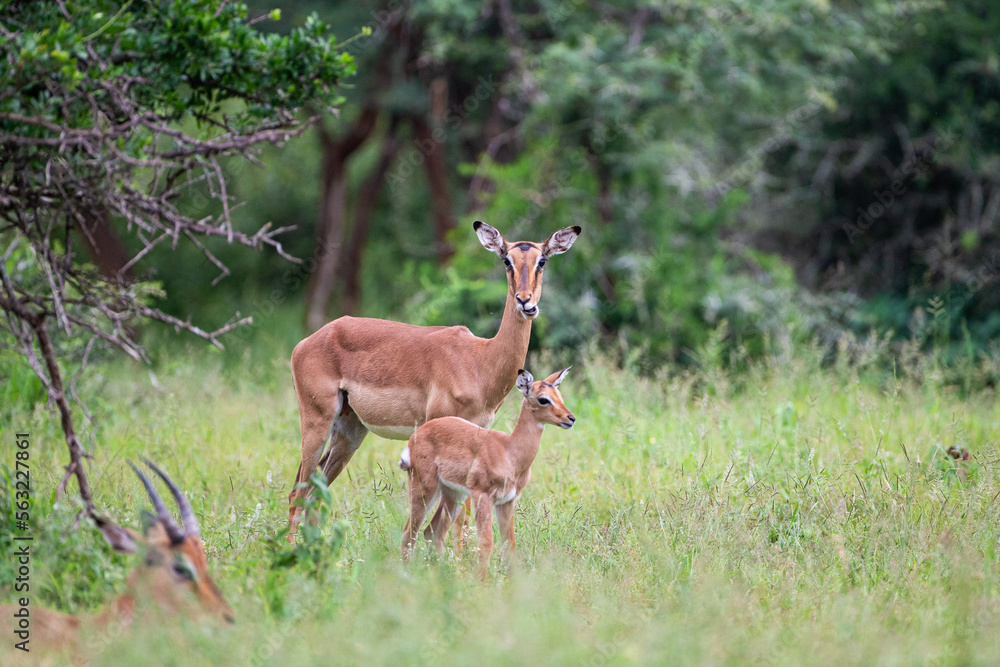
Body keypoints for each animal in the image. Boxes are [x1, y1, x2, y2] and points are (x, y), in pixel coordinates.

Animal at [287, 221, 581, 536]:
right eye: (506, 260)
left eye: (542, 260)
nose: (526, 302)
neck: (480, 360)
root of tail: (306, 343)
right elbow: (456, 517)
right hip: (317, 421)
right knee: (297, 493)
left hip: (350, 431)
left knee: (315, 491)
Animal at [399, 367, 575, 577]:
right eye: (543, 399)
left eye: (559, 396)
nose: (570, 419)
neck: (508, 452)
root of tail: (415, 436)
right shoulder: (483, 496)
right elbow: (486, 544)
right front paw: (481, 583)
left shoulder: (507, 501)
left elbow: (509, 545)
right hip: (424, 488)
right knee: (409, 533)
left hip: (452, 493)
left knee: (433, 532)